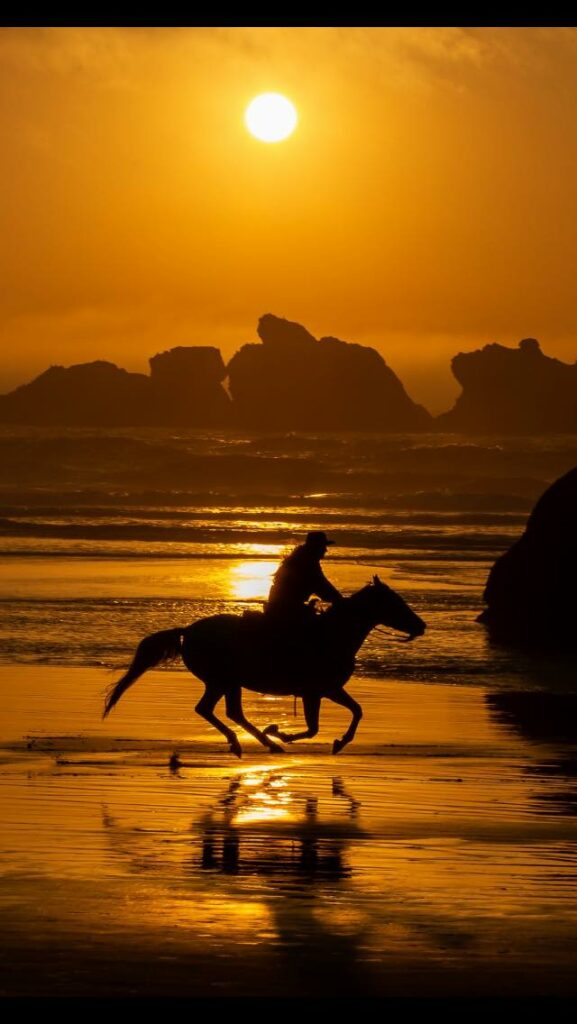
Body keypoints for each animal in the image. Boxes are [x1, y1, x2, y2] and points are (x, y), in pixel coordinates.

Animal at [102, 581, 424, 757]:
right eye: (395, 602)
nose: (420, 626)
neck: (333, 635)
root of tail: (187, 631)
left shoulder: (329, 689)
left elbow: (355, 712)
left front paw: (338, 742)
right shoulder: (317, 691)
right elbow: (316, 727)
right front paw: (280, 732)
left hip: (226, 682)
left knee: (225, 711)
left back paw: (259, 743)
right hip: (223, 681)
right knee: (214, 710)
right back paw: (254, 743)